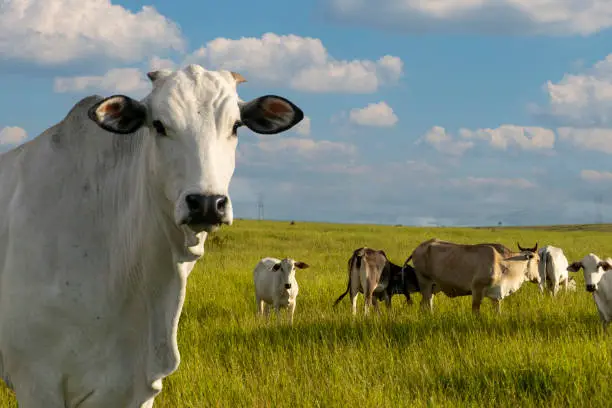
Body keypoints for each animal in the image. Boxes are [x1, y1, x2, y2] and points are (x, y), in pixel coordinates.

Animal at [406, 237, 540, 314]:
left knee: (425, 305)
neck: (504, 263)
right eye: (538, 260)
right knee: (426, 305)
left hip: (432, 288)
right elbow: (475, 312)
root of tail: (417, 249)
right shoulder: (477, 291)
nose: (538, 279)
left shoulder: (496, 296)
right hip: (425, 285)